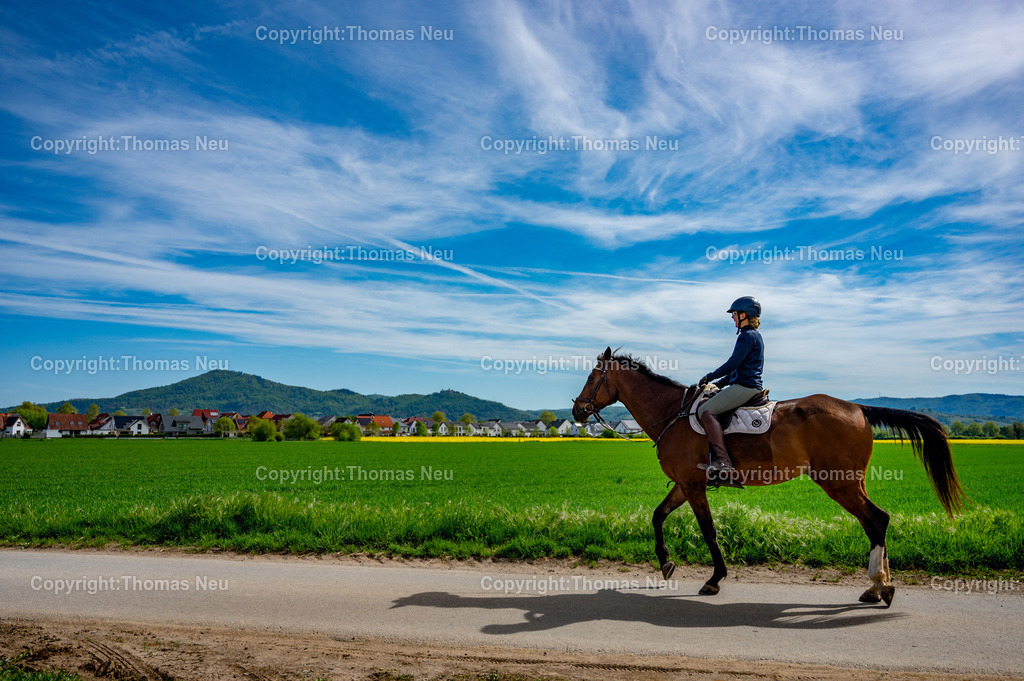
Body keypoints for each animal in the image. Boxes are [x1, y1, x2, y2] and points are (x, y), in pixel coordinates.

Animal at [571, 347, 966, 607]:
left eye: (591, 377)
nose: (576, 410)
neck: (674, 413)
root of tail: (856, 407)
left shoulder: (695, 486)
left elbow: (709, 531)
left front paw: (714, 579)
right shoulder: (685, 485)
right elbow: (657, 516)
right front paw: (666, 562)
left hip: (838, 482)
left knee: (877, 519)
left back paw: (879, 586)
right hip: (853, 482)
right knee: (873, 523)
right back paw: (877, 588)